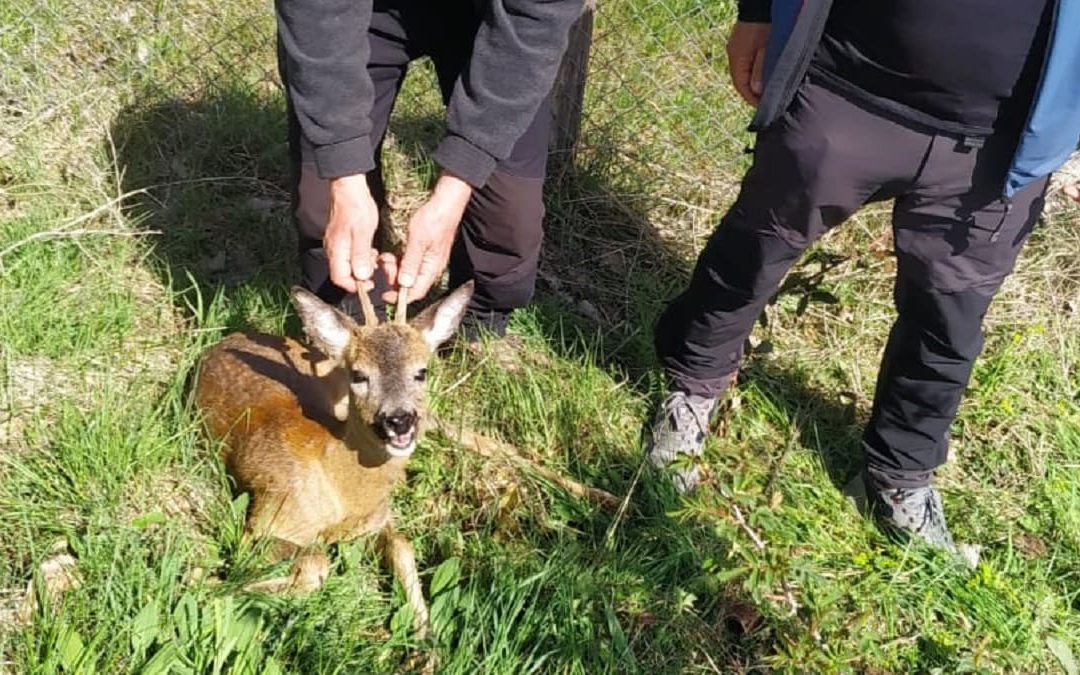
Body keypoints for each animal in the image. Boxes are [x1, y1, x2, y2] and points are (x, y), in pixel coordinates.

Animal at [191, 280, 477, 635]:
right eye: (359, 375)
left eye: (421, 372)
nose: (399, 420)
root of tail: (229, 338)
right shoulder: (266, 518)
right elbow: (317, 562)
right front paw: (210, 583)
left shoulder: (378, 518)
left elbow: (402, 545)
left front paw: (425, 636)